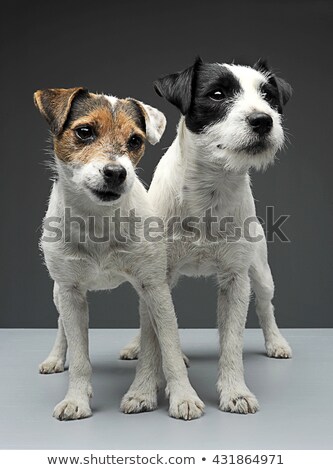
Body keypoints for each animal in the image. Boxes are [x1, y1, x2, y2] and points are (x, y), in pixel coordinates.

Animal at [35, 88, 204, 422]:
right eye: (84, 131)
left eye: (135, 140)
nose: (116, 172)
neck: (99, 221)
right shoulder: (70, 292)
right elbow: (79, 355)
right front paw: (76, 399)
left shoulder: (154, 285)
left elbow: (168, 342)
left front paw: (184, 396)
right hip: (58, 292)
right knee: (61, 327)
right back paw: (54, 358)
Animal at [121, 59, 290, 414]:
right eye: (217, 94)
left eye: (268, 96)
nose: (263, 120)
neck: (208, 194)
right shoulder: (155, 277)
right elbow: (153, 337)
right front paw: (142, 391)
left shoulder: (237, 279)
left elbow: (232, 342)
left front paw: (235, 391)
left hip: (261, 271)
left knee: (265, 305)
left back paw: (276, 341)